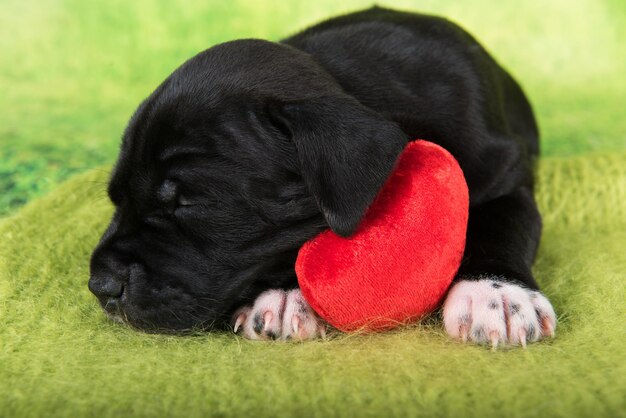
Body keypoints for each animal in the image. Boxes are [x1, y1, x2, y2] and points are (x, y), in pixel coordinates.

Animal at [89, 7, 556, 346]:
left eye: (190, 202)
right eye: (115, 197)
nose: (100, 286)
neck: (351, 85)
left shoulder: (505, 177)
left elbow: (502, 225)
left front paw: (496, 295)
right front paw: (284, 297)